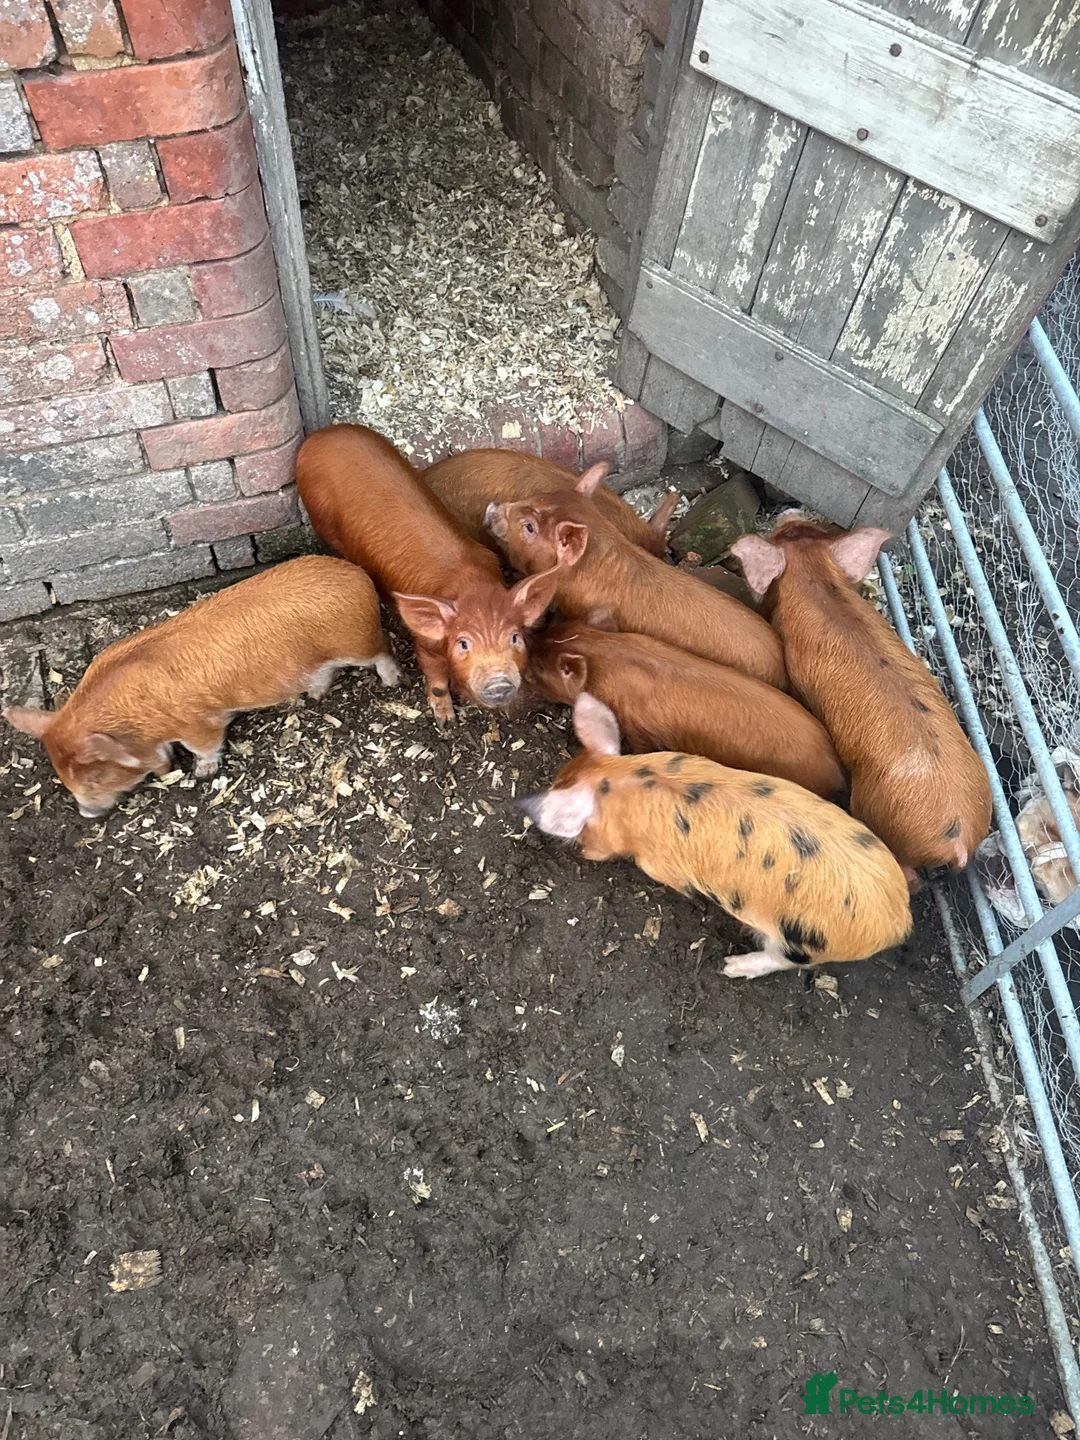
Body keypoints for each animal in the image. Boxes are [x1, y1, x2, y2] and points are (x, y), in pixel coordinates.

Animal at [2, 556, 401, 818]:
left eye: (97, 775)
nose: (87, 815)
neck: (134, 720)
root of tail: (358, 576)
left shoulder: (198, 723)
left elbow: (205, 746)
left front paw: (202, 773)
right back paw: (313, 695)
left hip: (358, 642)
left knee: (383, 648)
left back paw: (391, 680)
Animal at [296, 424, 560, 726]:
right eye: (463, 643)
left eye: (515, 638)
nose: (499, 683)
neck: (471, 587)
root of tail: (319, 436)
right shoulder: (425, 644)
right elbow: (435, 679)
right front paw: (446, 722)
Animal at [520, 694, 912, 977]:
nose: (582, 850)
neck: (621, 782)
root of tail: (896, 922)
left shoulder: (656, 863)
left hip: (804, 942)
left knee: (783, 960)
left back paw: (729, 968)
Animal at [731, 517, 992, 885]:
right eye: (802, 529)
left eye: (778, 536)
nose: (788, 513)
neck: (816, 580)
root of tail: (958, 840)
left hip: (877, 814)